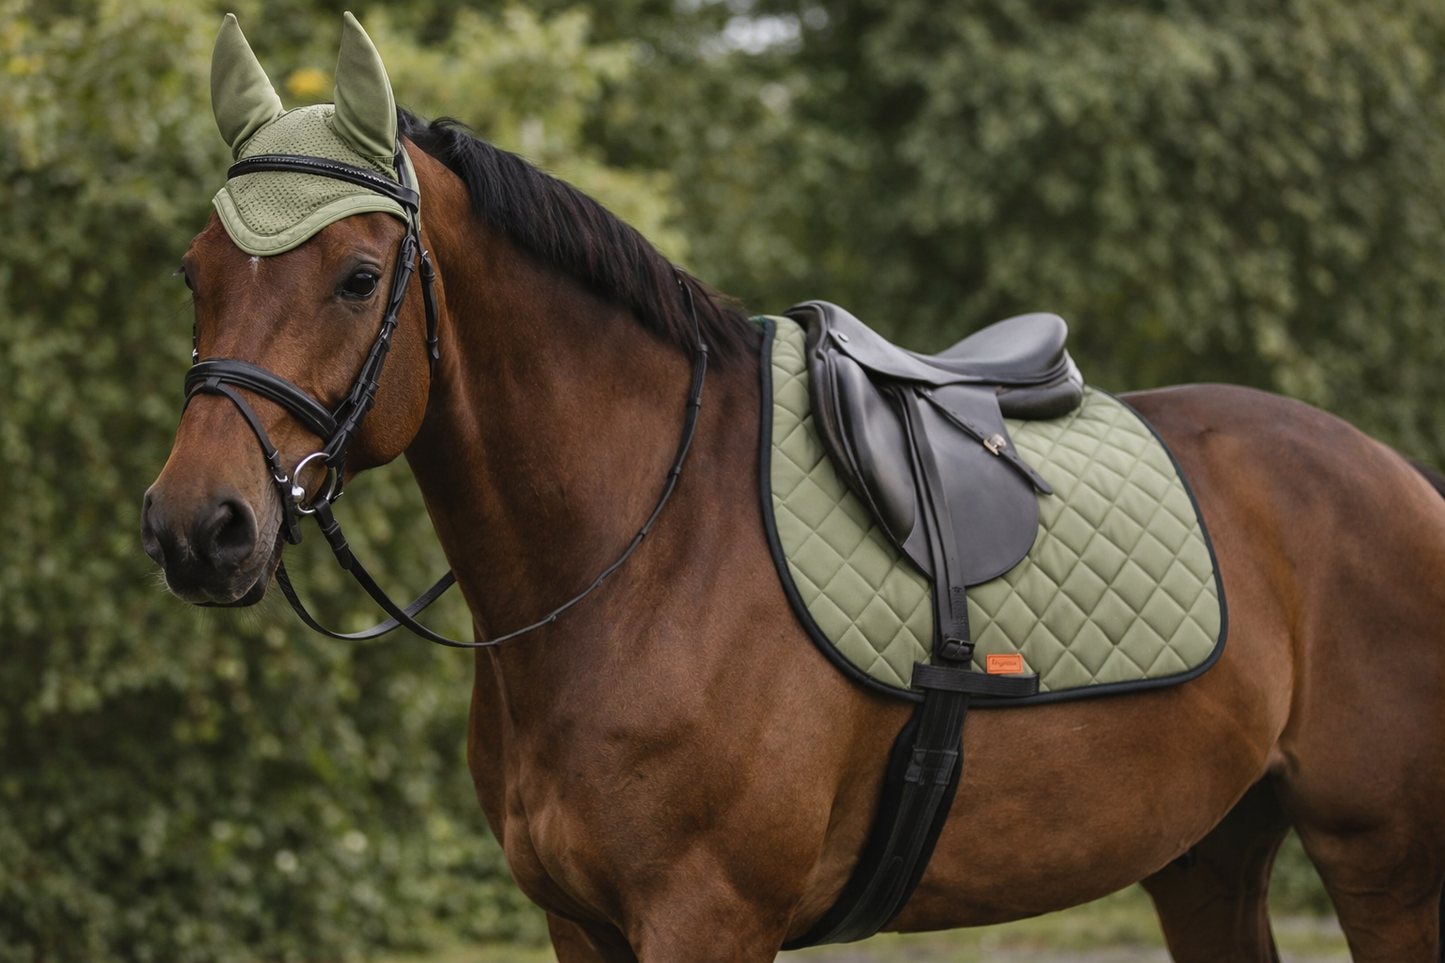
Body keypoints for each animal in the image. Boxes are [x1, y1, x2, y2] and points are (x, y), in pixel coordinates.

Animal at [142, 18, 1445, 962]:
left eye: (360, 277)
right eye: (195, 272)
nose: (198, 527)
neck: (643, 553)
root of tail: (1396, 479)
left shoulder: (706, 918)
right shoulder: (579, 924)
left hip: (1380, 863)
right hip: (1206, 855)